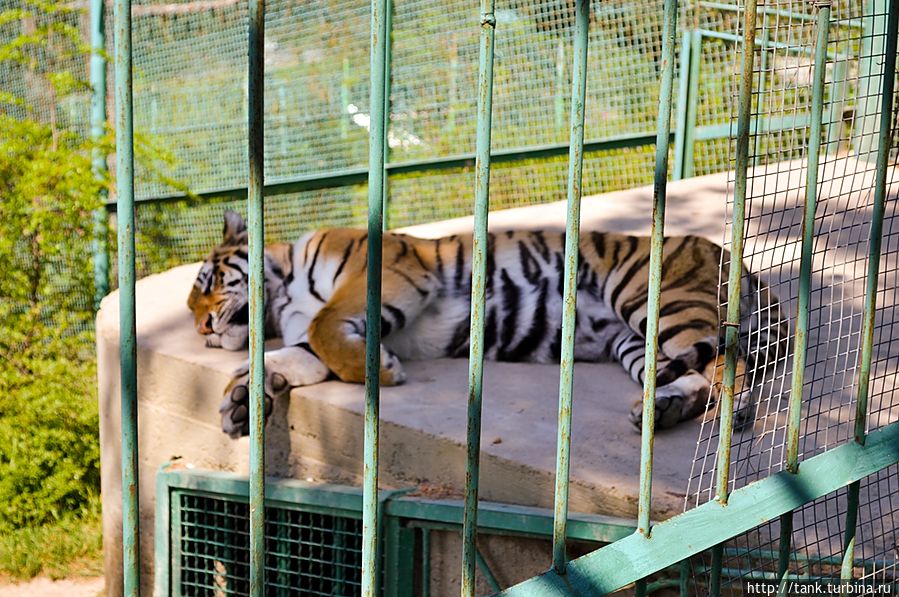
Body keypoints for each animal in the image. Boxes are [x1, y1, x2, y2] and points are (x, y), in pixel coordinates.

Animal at [190, 210, 788, 438]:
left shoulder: (386, 273)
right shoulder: (316, 337)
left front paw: (386, 372)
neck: (282, 293)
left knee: (727, 360)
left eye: (207, 281)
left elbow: (323, 326)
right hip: (635, 343)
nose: (202, 330)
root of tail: (735, 259)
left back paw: (731, 415)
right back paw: (662, 411)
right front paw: (240, 401)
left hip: (653, 301)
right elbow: (289, 355)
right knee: (692, 376)